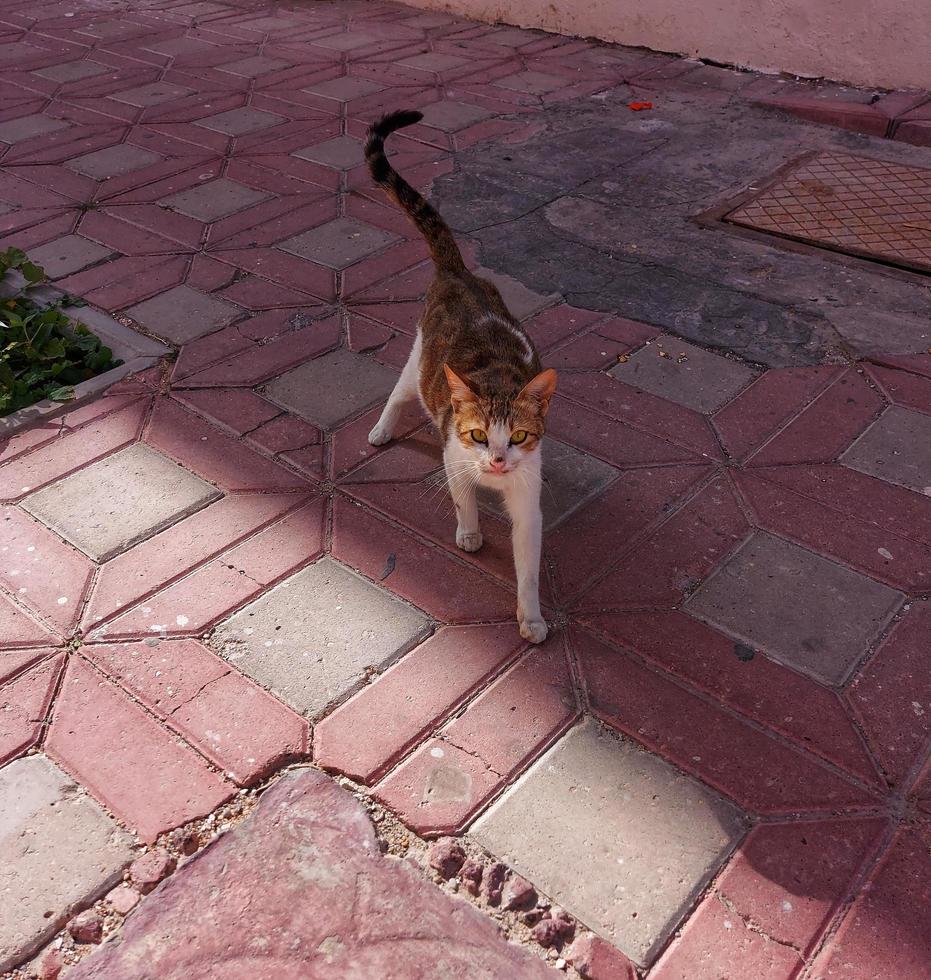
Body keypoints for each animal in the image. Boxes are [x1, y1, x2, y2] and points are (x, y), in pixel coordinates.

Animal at [364, 109, 556, 644]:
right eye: (477, 435)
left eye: (518, 436)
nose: (495, 461)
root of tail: (459, 273)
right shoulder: (453, 455)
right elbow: (462, 497)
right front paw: (469, 531)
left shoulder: (528, 497)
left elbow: (528, 564)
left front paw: (531, 616)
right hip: (419, 361)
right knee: (398, 391)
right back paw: (382, 429)